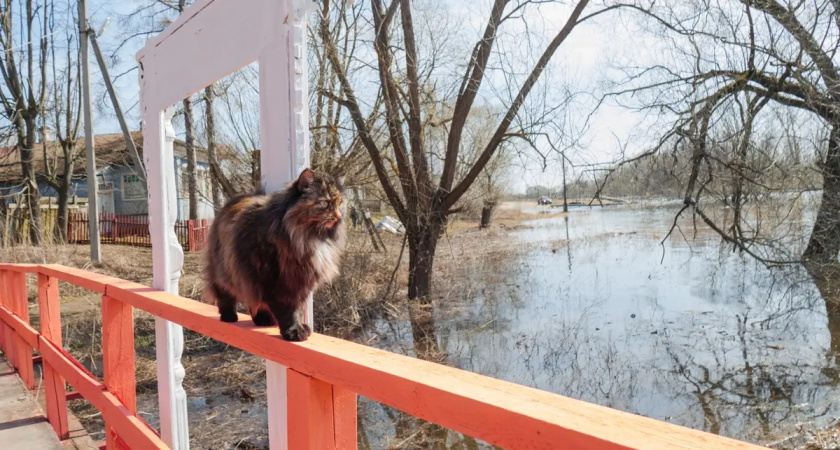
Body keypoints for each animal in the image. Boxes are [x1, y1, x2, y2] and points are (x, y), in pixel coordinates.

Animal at [203, 169, 344, 342]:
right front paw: (294, 331)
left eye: (340, 204)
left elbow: (297, 309)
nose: (339, 216)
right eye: (325, 203)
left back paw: (263, 320)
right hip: (227, 272)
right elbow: (287, 311)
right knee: (225, 294)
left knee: (255, 302)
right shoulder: (275, 280)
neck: (307, 237)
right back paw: (229, 316)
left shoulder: (301, 283)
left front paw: (300, 327)